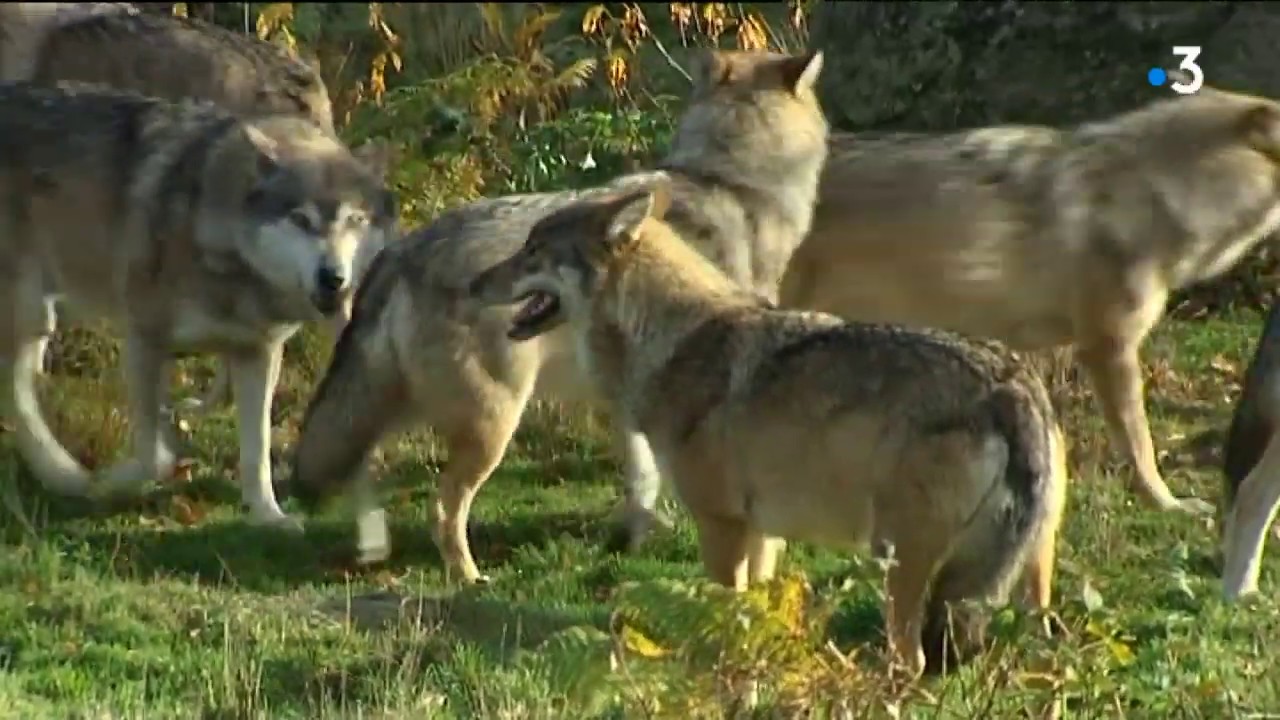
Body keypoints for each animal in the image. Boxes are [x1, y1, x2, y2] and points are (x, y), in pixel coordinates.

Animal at [0, 81, 394, 527]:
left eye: (354, 220)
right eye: (301, 220)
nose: (334, 278)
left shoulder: (257, 353)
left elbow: (256, 450)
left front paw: (268, 515)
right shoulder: (144, 341)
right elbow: (154, 456)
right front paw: (114, 481)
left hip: (45, 315)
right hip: (29, 308)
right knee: (15, 392)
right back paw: (64, 473)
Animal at [288, 47, 829, 579]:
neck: (727, 183)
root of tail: (403, 250)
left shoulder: (631, 394)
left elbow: (641, 477)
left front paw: (635, 534)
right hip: (493, 425)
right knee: (442, 509)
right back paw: (468, 577)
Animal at [465, 176, 1064, 676]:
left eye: (533, 250)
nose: (472, 284)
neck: (671, 341)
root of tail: (1012, 385)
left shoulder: (722, 526)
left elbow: (725, 624)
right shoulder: (763, 534)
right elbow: (756, 620)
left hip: (903, 563)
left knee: (912, 661)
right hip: (1027, 577)